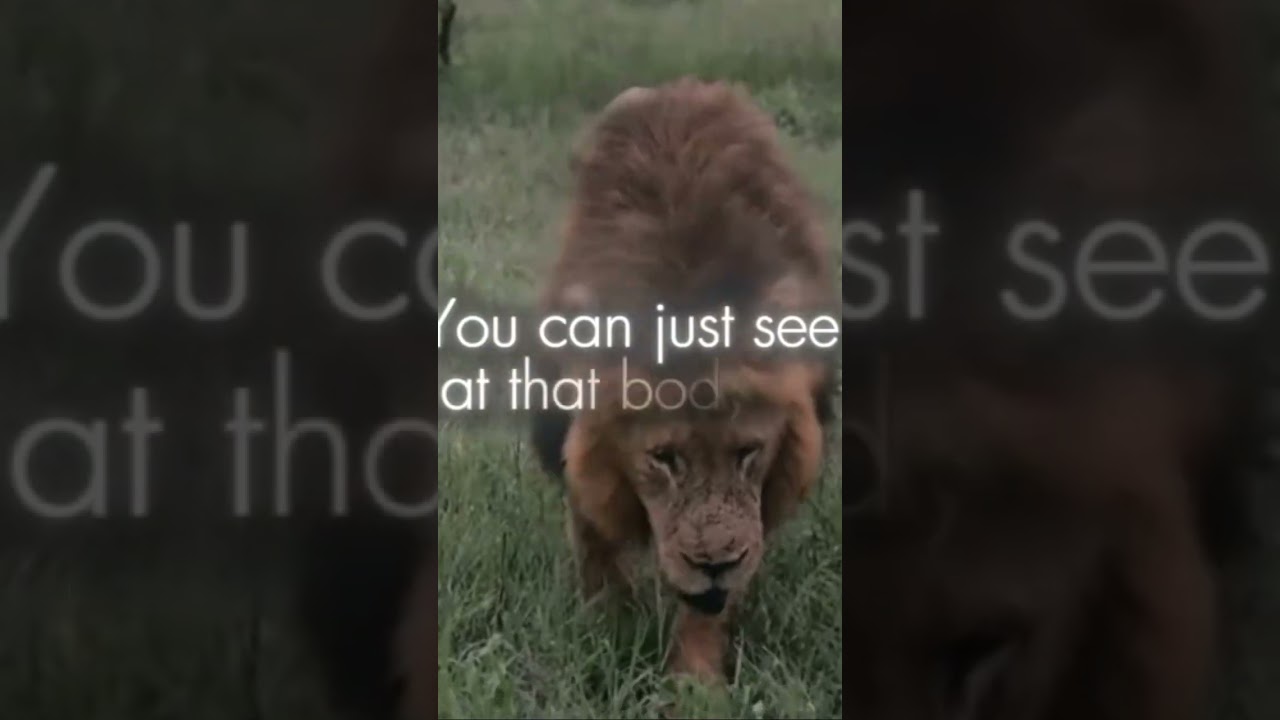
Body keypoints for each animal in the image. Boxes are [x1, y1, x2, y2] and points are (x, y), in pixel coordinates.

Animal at [529, 78, 839, 682]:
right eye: (663, 458)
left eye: (748, 452)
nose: (714, 564)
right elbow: (593, 534)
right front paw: (607, 628)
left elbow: (707, 610)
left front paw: (694, 682)